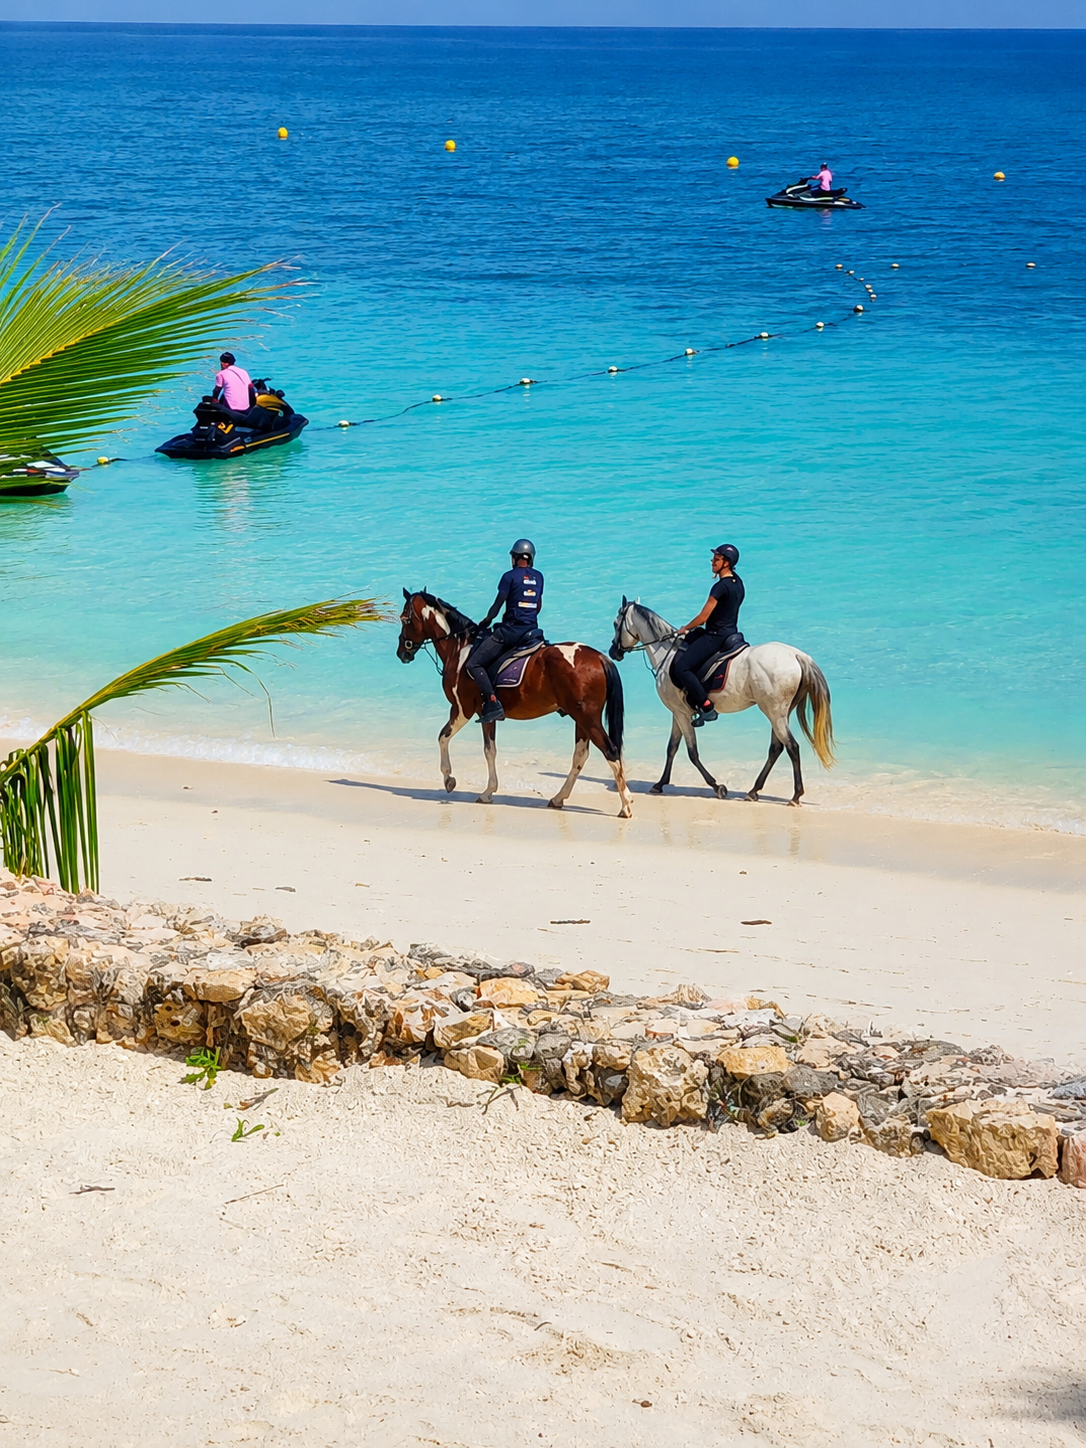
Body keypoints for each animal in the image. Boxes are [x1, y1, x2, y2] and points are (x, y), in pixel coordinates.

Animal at [397, 589, 633, 817]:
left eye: (404, 619)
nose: (402, 652)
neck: (461, 648)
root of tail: (600, 658)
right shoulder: (486, 715)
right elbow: (490, 750)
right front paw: (488, 791)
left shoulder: (462, 709)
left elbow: (445, 738)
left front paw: (451, 779)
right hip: (581, 719)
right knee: (580, 756)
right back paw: (559, 798)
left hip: (587, 718)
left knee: (611, 752)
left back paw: (626, 806)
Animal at [609, 598, 835, 805]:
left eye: (615, 623)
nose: (613, 652)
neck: (667, 653)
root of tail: (797, 655)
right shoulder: (678, 712)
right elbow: (671, 747)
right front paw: (660, 783)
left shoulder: (681, 713)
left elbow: (692, 752)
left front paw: (717, 787)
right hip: (779, 713)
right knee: (776, 748)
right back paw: (754, 791)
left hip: (774, 712)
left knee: (792, 747)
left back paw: (795, 796)